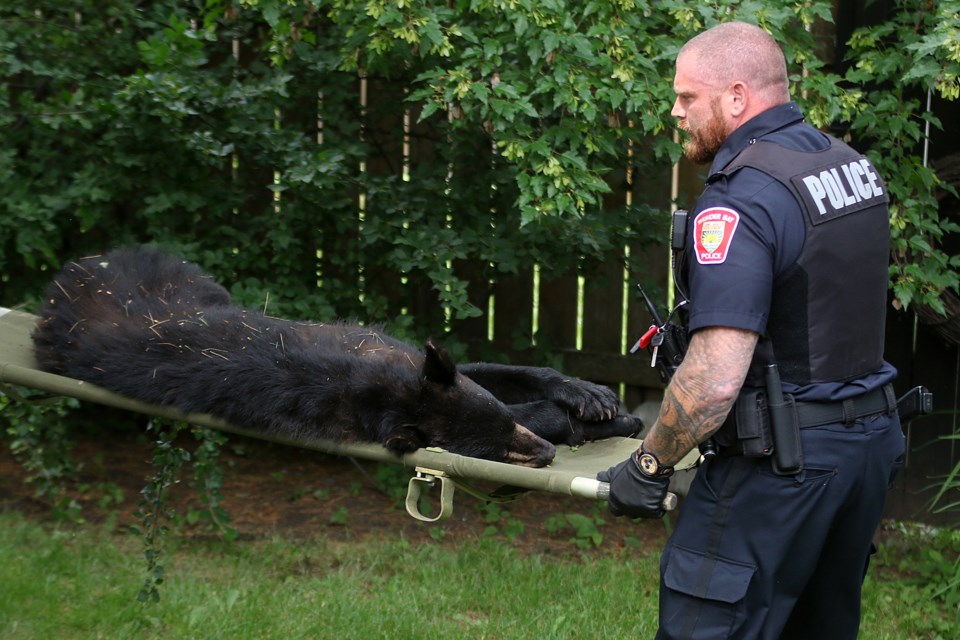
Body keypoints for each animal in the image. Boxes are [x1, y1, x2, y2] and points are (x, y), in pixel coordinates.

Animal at [33, 249, 640, 464]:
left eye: (499, 425)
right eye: (494, 447)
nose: (544, 455)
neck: (364, 379)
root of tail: (75, 269)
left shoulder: (402, 356)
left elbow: (494, 371)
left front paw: (588, 395)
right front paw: (575, 422)